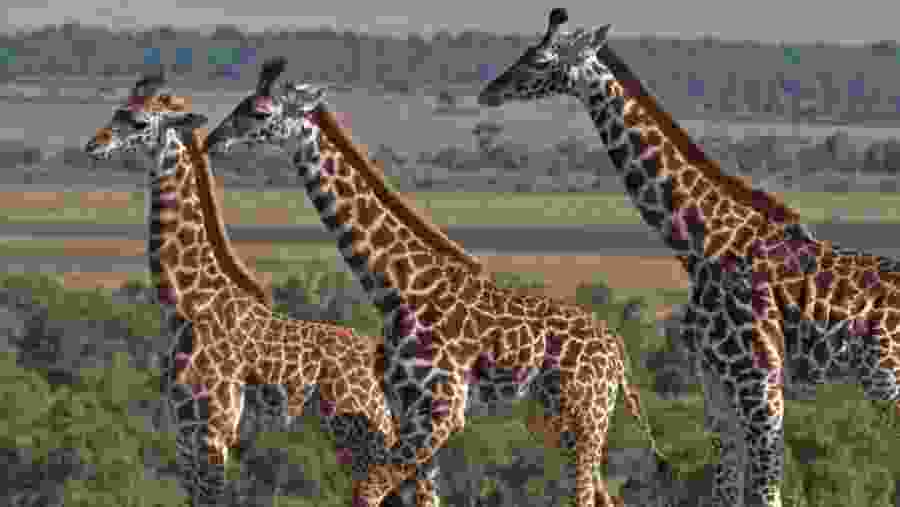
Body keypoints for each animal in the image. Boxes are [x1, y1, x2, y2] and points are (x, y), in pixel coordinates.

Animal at [82, 69, 436, 507]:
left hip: (360, 426)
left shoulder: (213, 431)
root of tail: (381, 361)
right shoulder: (184, 434)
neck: (188, 305)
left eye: (139, 122)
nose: (94, 145)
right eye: (118, 110)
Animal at [205, 71, 672, 507]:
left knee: (585, 495)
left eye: (260, 111)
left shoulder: (440, 411)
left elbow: (368, 490)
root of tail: (618, 350)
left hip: (586, 416)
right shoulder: (408, 409)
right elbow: (420, 496)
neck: (396, 288)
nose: (212, 139)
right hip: (559, 420)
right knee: (606, 495)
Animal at [477, 8, 900, 507]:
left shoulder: (760, 381)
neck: (703, 246)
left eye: (541, 61)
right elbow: (727, 488)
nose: (489, 92)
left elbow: (766, 492)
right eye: (526, 51)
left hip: (887, 380)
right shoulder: (714, 382)